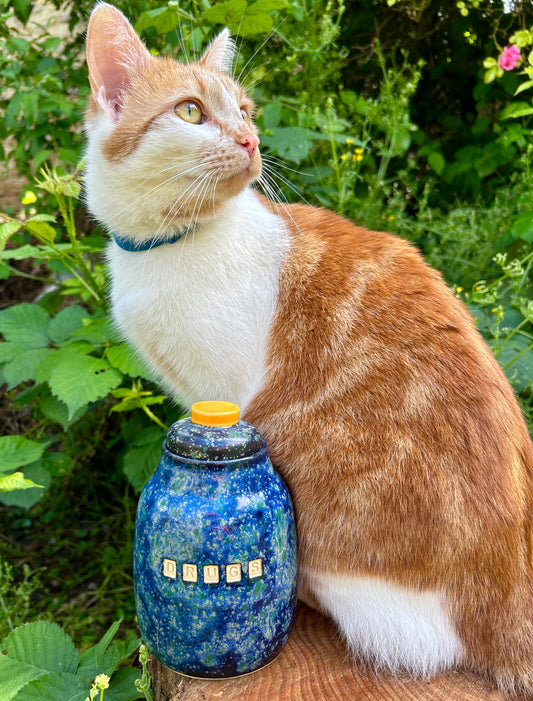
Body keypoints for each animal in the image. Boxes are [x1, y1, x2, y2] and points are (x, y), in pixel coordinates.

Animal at [84, 4, 532, 696]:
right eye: (190, 111)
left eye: (245, 111)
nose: (250, 142)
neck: (169, 245)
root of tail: (512, 599)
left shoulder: (222, 394)